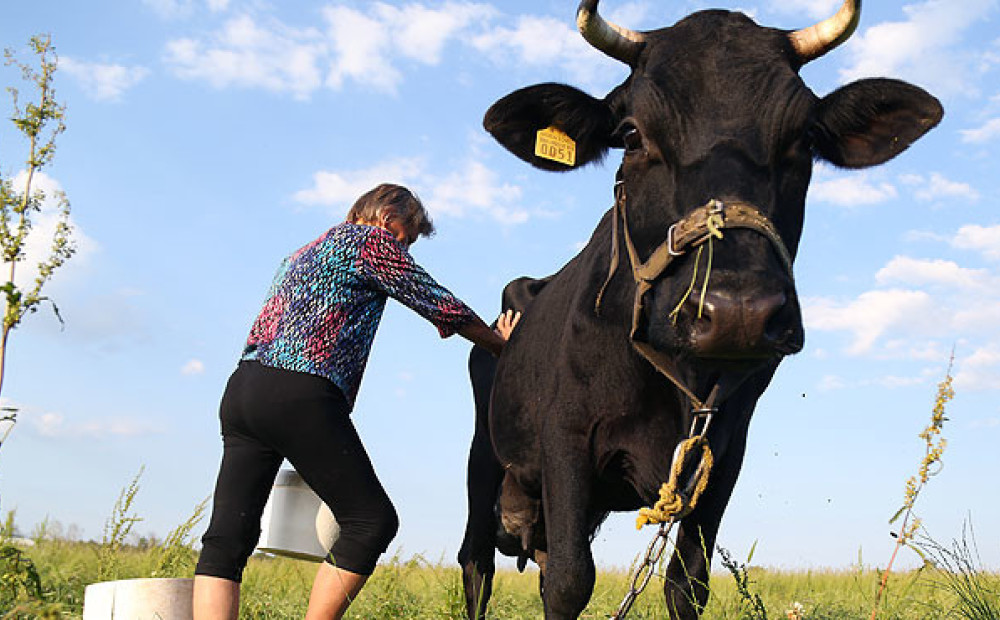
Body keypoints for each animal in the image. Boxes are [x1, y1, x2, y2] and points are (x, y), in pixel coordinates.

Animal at [458, 2, 940, 616]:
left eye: (805, 136)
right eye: (631, 134)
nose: (738, 311)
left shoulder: (724, 452)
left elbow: (687, 583)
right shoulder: (565, 437)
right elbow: (567, 580)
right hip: (484, 460)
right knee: (477, 563)